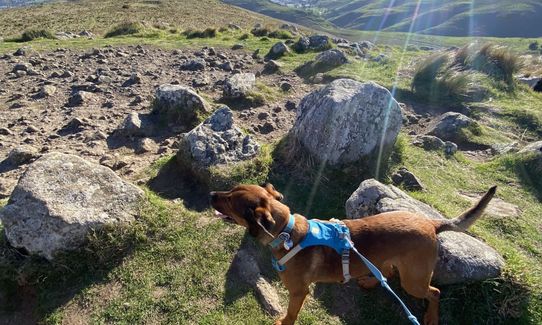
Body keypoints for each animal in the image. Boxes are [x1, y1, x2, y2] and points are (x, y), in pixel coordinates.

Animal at [210, 184, 500, 322]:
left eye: (230, 201)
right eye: (229, 191)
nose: (212, 194)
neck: (286, 231)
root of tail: (432, 223)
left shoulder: (299, 292)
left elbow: (291, 314)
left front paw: (283, 322)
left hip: (414, 281)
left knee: (435, 292)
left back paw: (431, 317)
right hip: (393, 264)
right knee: (385, 272)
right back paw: (370, 281)